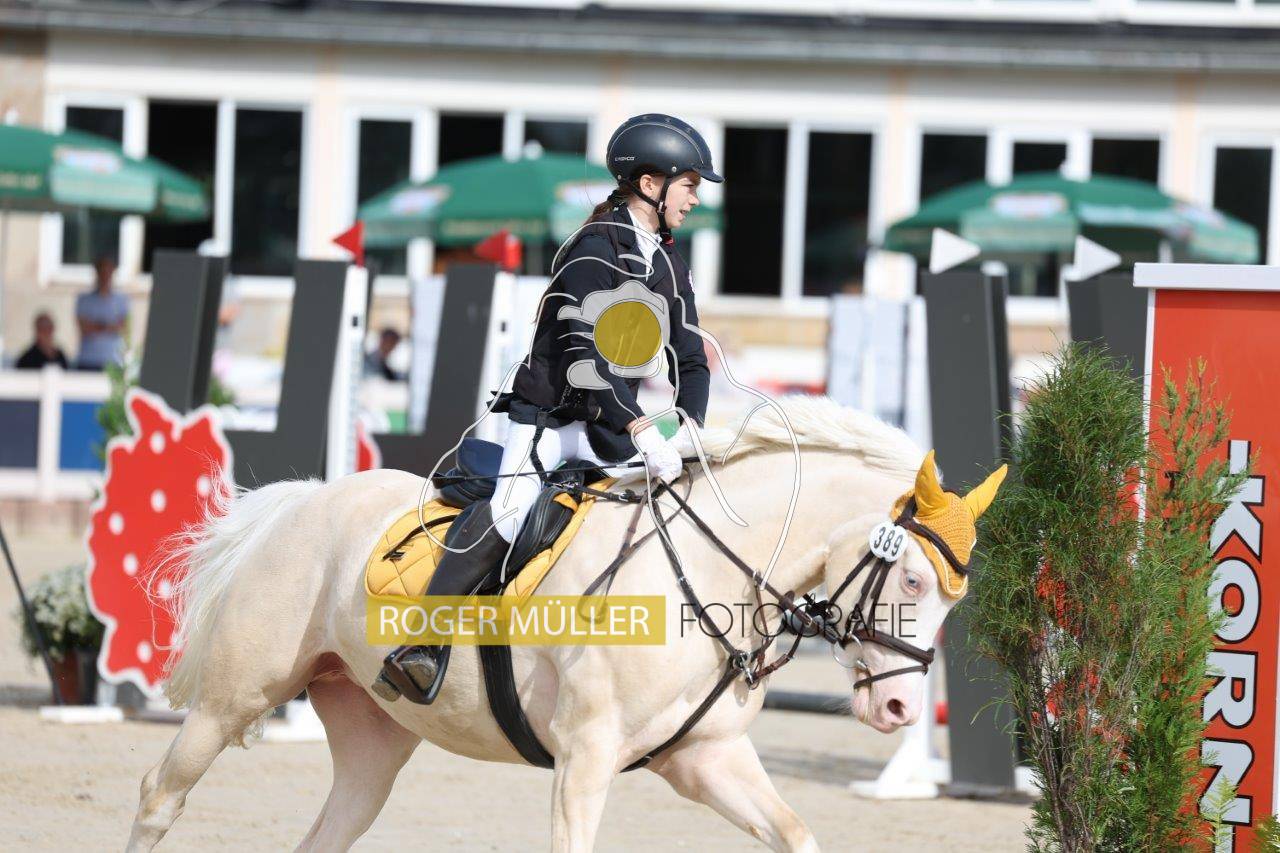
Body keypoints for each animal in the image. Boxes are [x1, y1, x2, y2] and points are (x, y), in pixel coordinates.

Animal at [126, 396, 1005, 852]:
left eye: (954, 599)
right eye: (913, 577)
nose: (898, 707)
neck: (709, 565)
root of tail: (303, 500)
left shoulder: (708, 757)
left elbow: (796, 835)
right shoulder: (584, 758)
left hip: (372, 740)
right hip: (232, 700)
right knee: (161, 795)